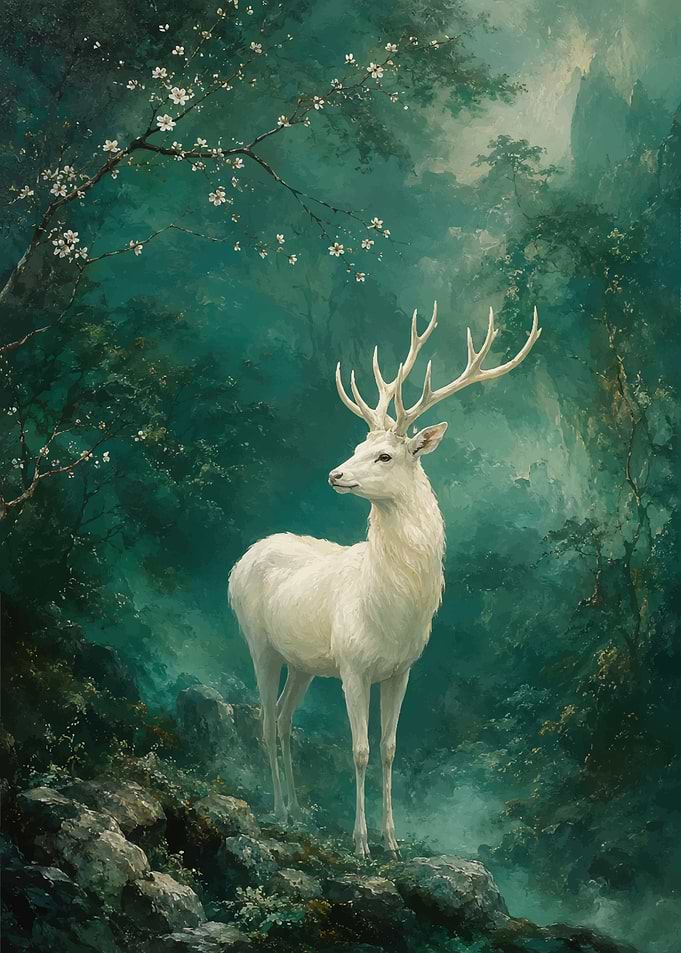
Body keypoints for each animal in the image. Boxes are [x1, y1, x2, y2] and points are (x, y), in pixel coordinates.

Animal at [228, 301, 541, 857]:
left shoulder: (400, 670)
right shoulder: (353, 666)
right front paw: (360, 842)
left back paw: (298, 811)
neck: (391, 614)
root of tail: (241, 559)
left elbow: (391, 748)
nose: (335, 474)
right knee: (264, 722)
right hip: (257, 640)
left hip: (303, 662)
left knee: (284, 719)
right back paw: (279, 810)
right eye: (357, 445)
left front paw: (392, 841)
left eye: (384, 455)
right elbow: (358, 750)